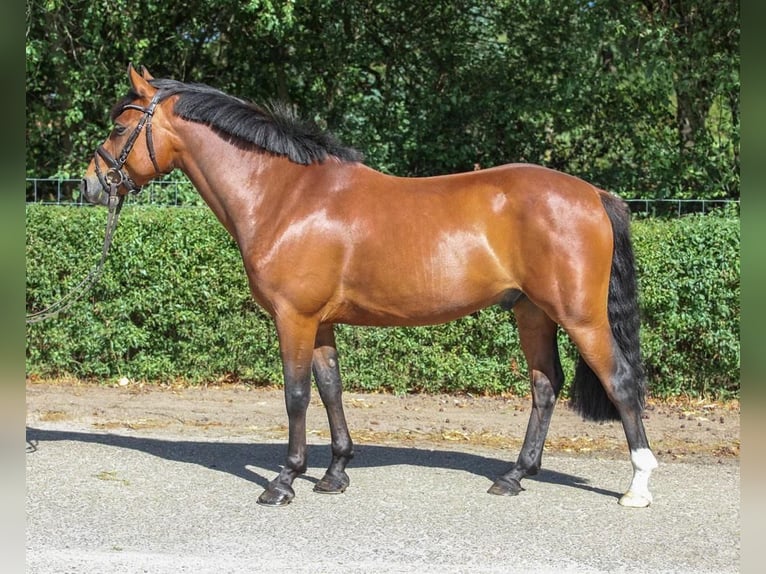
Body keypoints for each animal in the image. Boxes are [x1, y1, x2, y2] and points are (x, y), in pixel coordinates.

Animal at [81, 64, 657, 508]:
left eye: (119, 127)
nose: (90, 185)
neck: (286, 196)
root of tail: (594, 194)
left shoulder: (293, 317)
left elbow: (295, 395)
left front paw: (284, 481)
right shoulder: (320, 323)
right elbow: (331, 388)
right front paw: (335, 473)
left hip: (580, 316)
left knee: (621, 381)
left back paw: (638, 485)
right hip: (531, 312)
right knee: (544, 385)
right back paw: (513, 477)